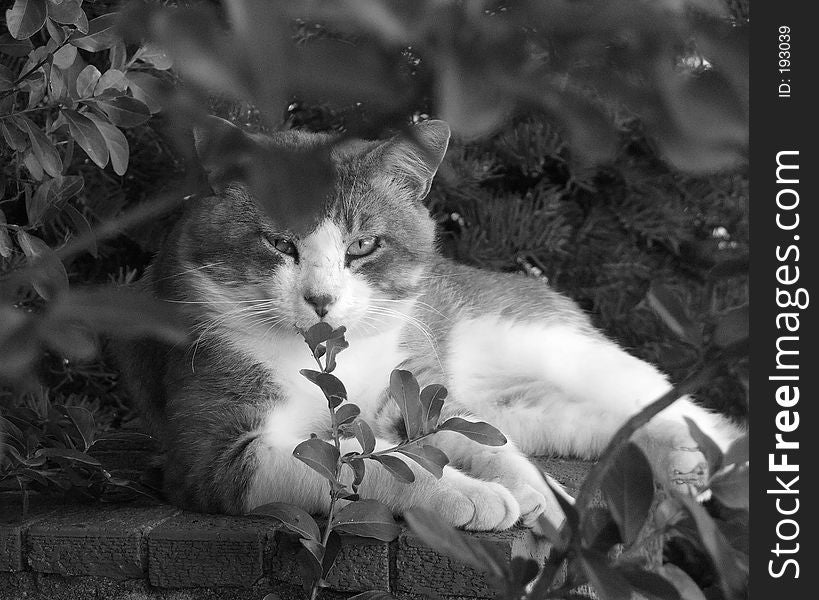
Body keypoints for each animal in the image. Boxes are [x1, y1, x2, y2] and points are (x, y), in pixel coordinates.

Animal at [117, 117, 744, 528]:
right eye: (279, 244)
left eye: (362, 245)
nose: (321, 299)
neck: (329, 358)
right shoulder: (216, 455)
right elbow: (362, 466)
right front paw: (475, 496)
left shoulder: (417, 390)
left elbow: (478, 442)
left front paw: (527, 491)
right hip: (526, 403)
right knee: (594, 423)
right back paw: (682, 465)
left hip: (553, 346)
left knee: (678, 407)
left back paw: (701, 462)